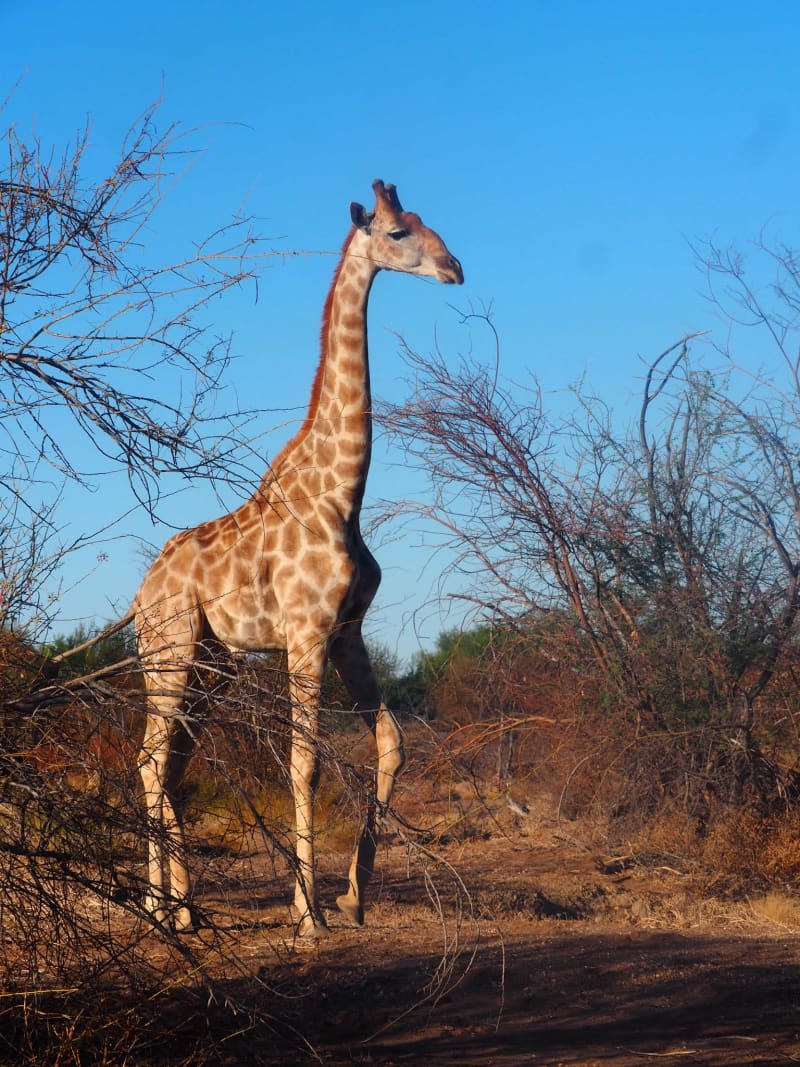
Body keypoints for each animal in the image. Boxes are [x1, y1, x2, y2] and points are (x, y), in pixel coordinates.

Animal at [133, 181, 462, 934]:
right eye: (399, 232)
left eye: (427, 221)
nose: (455, 268)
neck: (341, 493)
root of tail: (139, 594)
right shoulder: (306, 633)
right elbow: (304, 763)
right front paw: (308, 914)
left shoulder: (347, 632)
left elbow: (391, 744)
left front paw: (352, 895)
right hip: (168, 654)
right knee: (150, 759)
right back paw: (164, 909)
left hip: (212, 664)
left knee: (169, 764)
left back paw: (176, 908)